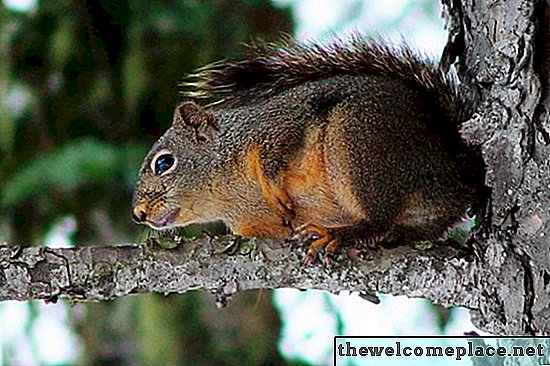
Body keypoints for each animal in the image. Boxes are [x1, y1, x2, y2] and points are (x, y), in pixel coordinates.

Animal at [132, 37, 486, 264]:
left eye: (163, 163)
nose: (139, 214)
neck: (227, 193)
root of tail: (456, 168)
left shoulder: (279, 126)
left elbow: (275, 157)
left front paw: (275, 189)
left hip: (358, 143)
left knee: (377, 219)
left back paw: (339, 233)